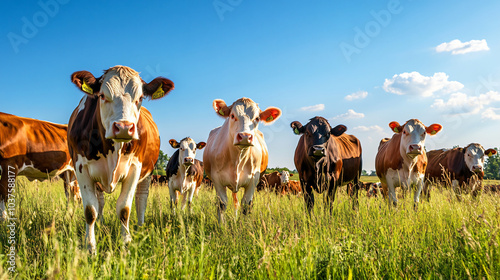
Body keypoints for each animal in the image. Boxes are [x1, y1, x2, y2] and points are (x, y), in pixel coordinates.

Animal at [68, 65, 174, 254]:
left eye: (140, 98)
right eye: (102, 95)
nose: (124, 127)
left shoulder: (135, 167)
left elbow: (124, 208)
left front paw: (126, 243)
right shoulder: (81, 168)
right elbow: (91, 210)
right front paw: (90, 247)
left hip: (148, 173)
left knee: (141, 199)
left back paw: (140, 227)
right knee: (100, 201)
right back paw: (101, 224)